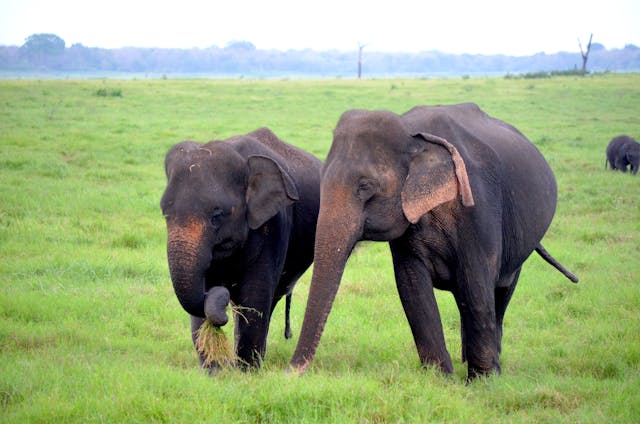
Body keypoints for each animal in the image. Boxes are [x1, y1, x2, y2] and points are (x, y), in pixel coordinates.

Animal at [160, 127, 320, 370]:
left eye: (217, 216)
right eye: (165, 214)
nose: (220, 291)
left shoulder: (274, 224)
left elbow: (255, 296)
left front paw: (246, 372)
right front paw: (213, 371)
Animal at [290, 104, 580, 380]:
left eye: (365, 186)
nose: (289, 373)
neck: (412, 133)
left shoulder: (479, 206)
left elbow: (476, 281)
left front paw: (482, 382)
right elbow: (411, 285)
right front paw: (440, 378)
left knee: (501, 289)